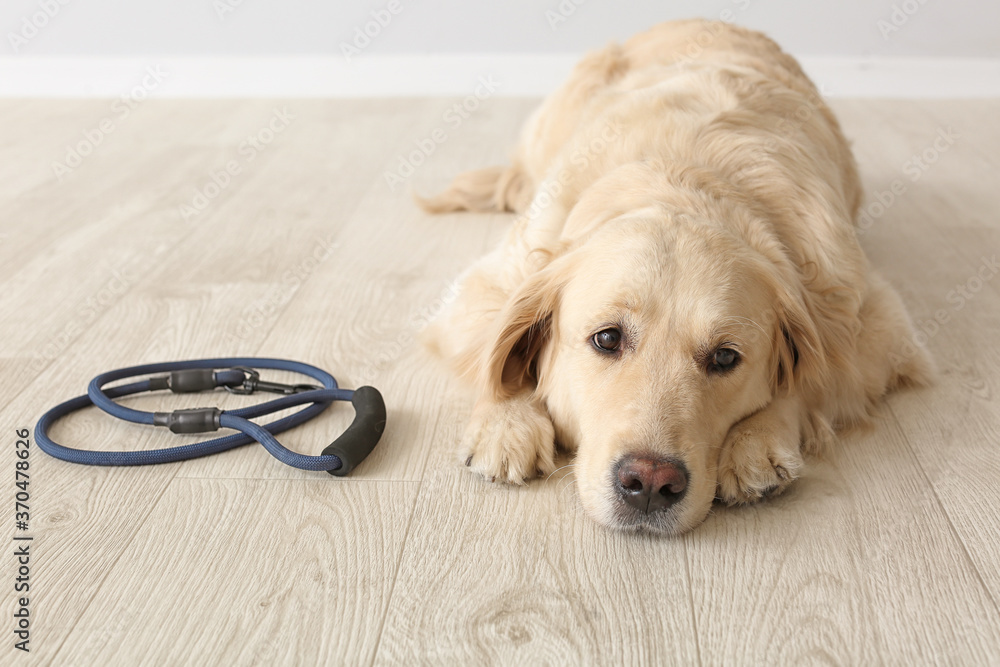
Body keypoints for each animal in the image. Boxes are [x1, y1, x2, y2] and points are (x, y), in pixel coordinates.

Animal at [416, 18, 928, 536]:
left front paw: (757, 442)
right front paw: (506, 426)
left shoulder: (872, 324)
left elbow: (810, 380)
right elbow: (492, 358)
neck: (685, 181)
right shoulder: (492, 283)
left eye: (725, 357)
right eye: (606, 338)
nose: (649, 483)